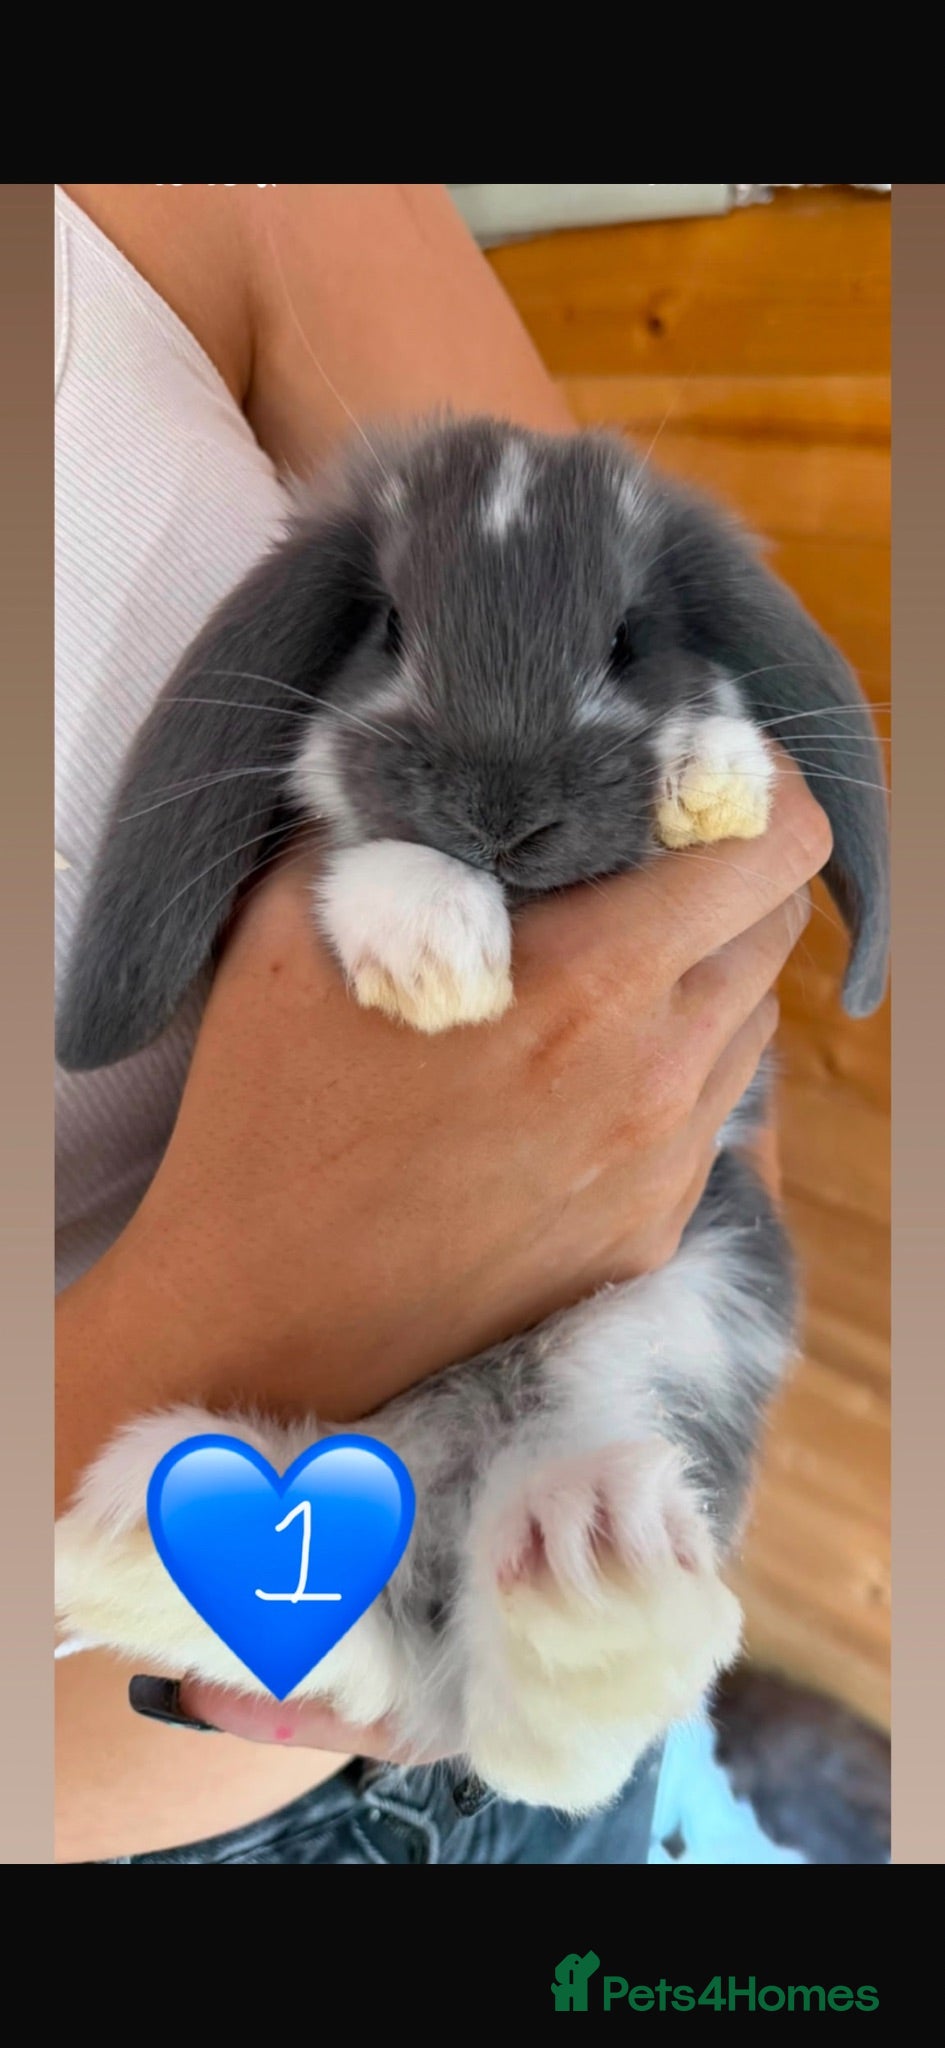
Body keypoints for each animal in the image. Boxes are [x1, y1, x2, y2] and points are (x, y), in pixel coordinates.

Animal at [55, 417, 889, 1814]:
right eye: (388, 624)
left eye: (628, 635)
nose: (499, 817)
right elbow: (370, 862)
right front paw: (439, 959)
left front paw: (712, 783)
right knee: (386, 1665)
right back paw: (130, 1540)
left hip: (688, 1312)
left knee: (535, 1719)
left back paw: (588, 1563)